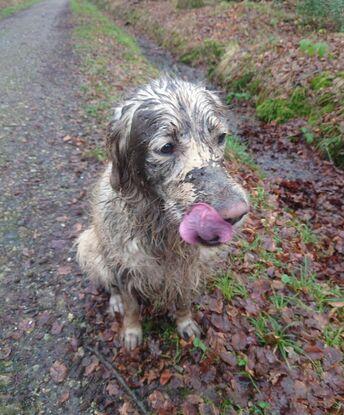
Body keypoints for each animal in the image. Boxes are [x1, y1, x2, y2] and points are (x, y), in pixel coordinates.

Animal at [77, 76, 250, 350]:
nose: (236, 214)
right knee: (110, 284)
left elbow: (184, 301)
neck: (161, 229)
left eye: (221, 137)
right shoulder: (125, 268)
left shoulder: (189, 271)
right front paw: (131, 331)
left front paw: (185, 323)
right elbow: (131, 305)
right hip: (88, 244)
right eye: (166, 147)